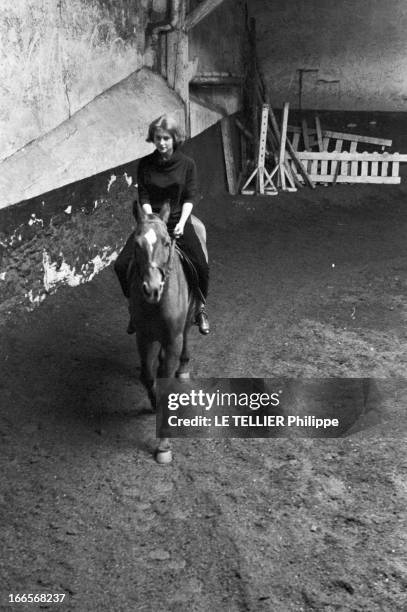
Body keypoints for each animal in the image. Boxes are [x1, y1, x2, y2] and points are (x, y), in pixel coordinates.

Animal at [127, 201, 204, 464]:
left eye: (166, 242)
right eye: (137, 244)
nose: (151, 289)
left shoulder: (173, 339)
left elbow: (166, 380)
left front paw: (163, 446)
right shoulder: (144, 337)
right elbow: (148, 376)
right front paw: (152, 403)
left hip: (189, 317)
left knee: (188, 335)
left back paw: (183, 366)